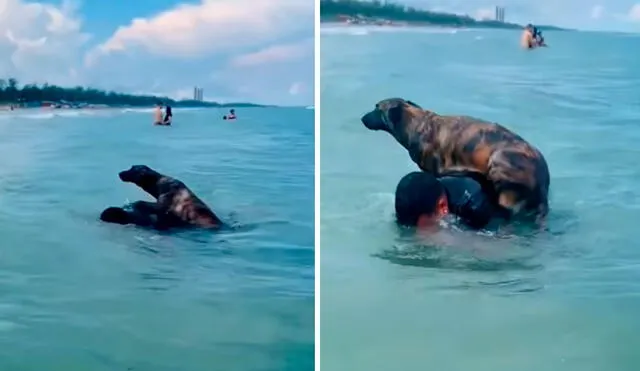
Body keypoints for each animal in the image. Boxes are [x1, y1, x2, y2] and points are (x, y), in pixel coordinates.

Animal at [362, 97, 548, 222]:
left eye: (377, 108)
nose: (362, 118)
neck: (417, 123)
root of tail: (542, 182)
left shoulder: (434, 170)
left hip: (499, 163)